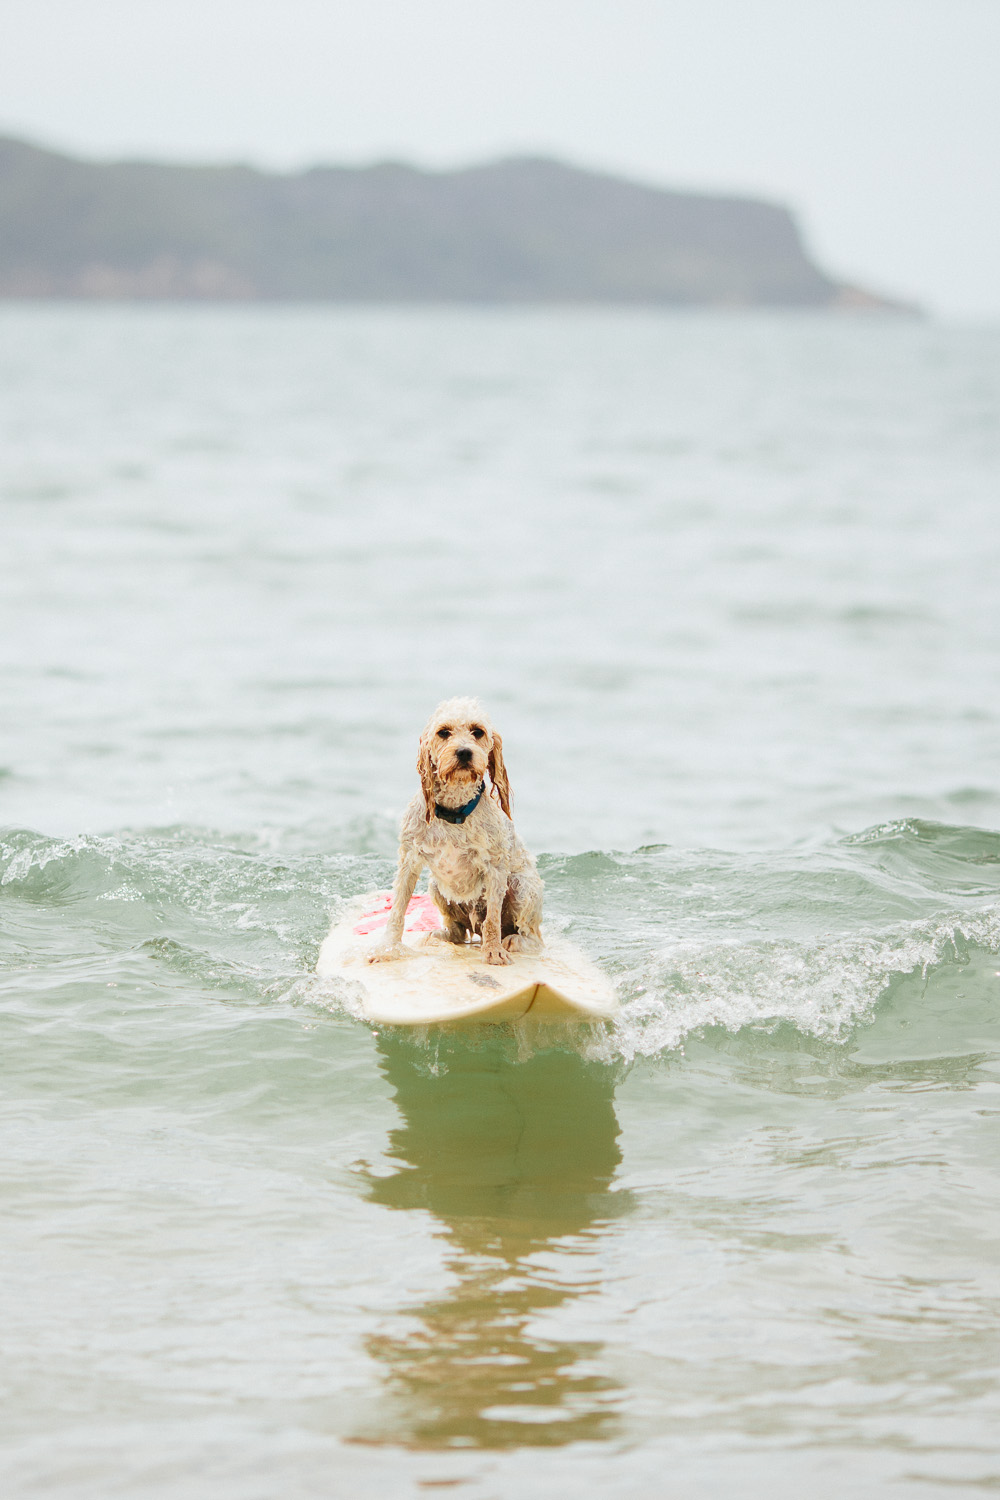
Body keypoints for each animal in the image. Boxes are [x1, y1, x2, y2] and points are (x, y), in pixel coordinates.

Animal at [367, 696, 542, 966]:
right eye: (444, 732)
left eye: (478, 732)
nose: (464, 752)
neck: (454, 811)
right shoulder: (409, 859)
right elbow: (397, 910)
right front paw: (388, 949)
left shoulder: (495, 867)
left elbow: (492, 919)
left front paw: (493, 951)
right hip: (436, 888)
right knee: (458, 932)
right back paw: (440, 935)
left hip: (523, 886)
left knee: (529, 934)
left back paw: (514, 941)